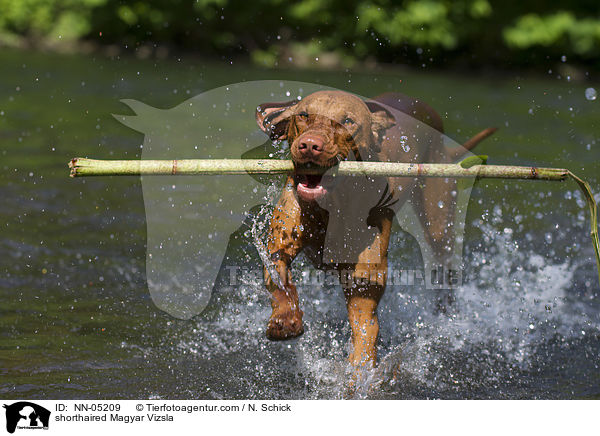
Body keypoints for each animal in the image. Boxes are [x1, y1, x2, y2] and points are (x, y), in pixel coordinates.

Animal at [255, 89, 494, 368]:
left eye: (348, 121)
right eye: (303, 115)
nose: (310, 145)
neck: (335, 203)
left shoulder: (366, 283)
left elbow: (364, 335)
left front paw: (360, 371)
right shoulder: (279, 244)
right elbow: (279, 277)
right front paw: (285, 318)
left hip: (438, 218)